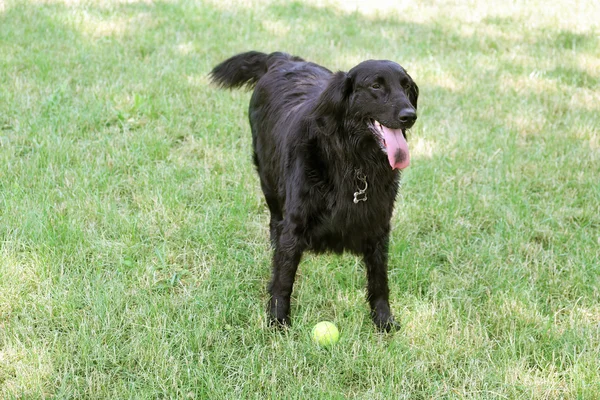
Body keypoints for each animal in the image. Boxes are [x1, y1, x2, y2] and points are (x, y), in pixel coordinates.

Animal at [211, 50, 418, 332]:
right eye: (376, 86)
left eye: (406, 86)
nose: (410, 115)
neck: (354, 160)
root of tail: (282, 59)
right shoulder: (295, 223)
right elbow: (284, 277)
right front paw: (278, 320)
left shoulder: (379, 225)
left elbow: (379, 280)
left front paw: (383, 320)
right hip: (268, 181)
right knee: (274, 221)